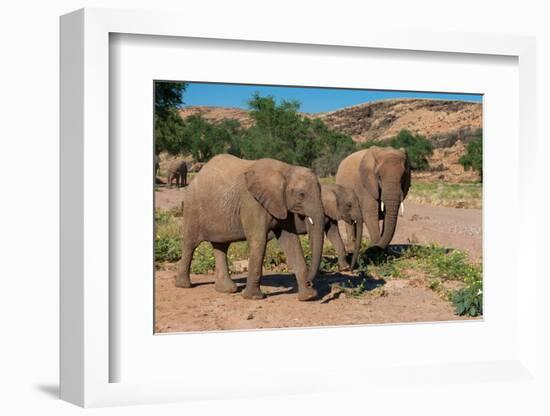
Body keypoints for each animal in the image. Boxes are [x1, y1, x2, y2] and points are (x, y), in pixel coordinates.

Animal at [177, 154, 326, 300]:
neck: (287, 169)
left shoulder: (281, 205)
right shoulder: (252, 203)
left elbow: (291, 241)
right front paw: (254, 297)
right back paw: (183, 285)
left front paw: (308, 297)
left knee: (221, 246)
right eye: (301, 194)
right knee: (190, 244)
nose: (310, 281)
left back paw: (227, 290)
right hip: (192, 208)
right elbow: (258, 241)